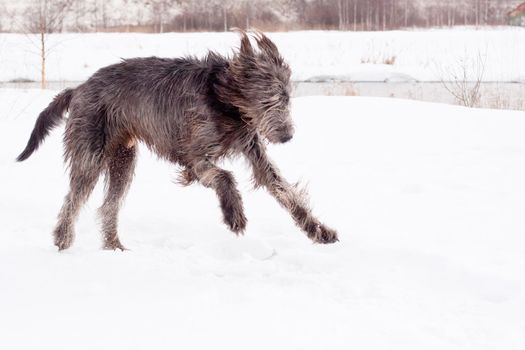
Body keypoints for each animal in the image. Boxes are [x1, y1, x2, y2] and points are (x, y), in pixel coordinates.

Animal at [17, 29, 340, 249]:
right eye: (267, 100)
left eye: (287, 98)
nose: (287, 136)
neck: (224, 100)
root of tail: (79, 88)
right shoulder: (195, 154)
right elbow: (224, 176)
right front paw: (234, 214)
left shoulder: (252, 147)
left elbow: (283, 190)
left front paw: (319, 231)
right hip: (90, 150)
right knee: (73, 198)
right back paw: (63, 241)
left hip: (123, 158)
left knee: (108, 205)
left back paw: (114, 247)